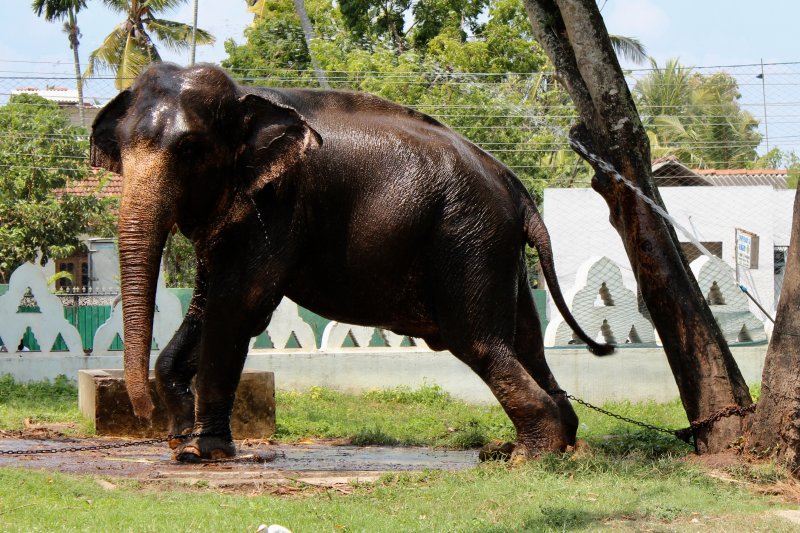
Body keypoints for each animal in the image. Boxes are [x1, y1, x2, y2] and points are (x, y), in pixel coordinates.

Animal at [90, 63, 613, 462]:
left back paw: (529, 457)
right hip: (495, 247)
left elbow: (239, 304)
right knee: (526, 340)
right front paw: (183, 436)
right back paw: (545, 444)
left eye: (189, 149)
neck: (244, 97)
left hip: (467, 235)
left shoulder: (279, 203)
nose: (146, 417)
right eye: (121, 145)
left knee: (480, 341)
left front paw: (202, 453)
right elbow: (206, 304)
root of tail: (518, 191)